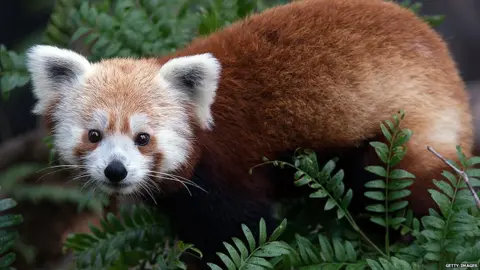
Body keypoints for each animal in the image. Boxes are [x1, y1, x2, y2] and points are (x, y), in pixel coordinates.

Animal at [24, 0, 470, 266]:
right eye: (94, 135)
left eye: (143, 138)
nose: (116, 171)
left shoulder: (226, 167)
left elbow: (243, 230)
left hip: (403, 132)